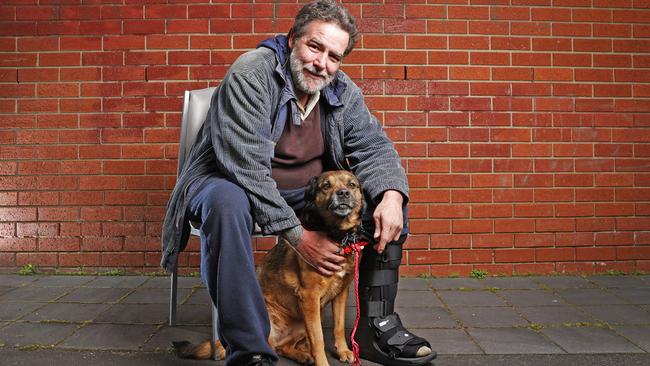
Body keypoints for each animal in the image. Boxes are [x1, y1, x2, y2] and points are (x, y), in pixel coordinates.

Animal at [175, 170, 362, 364]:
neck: (337, 235)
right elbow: (318, 338)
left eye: (352, 185)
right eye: (326, 186)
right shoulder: (309, 296)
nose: (343, 193)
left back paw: (303, 355)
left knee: (283, 347)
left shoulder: (341, 293)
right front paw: (323, 362)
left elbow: (339, 326)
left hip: (307, 320)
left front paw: (343, 350)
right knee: (274, 346)